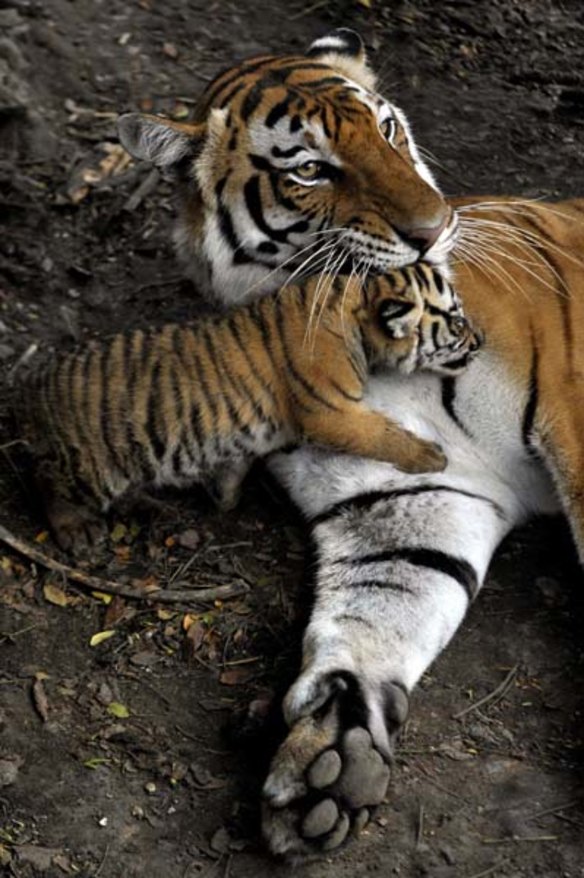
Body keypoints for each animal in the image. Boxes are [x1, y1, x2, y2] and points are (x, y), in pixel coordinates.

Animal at [16, 264, 478, 555]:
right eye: (456, 323)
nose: (480, 341)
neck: (358, 306)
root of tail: (35, 381)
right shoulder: (331, 413)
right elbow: (381, 434)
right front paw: (431, 456)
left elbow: (235, 468)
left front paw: (223, 498)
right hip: (92, 467)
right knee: (45, 479)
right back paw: (77, 530)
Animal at [118, 28, 584, 858]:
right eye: (309, 169)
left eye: (390, 131)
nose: (434, 228)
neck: (373, 342)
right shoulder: (411, 490)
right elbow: (383, 600)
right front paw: (334, 747)